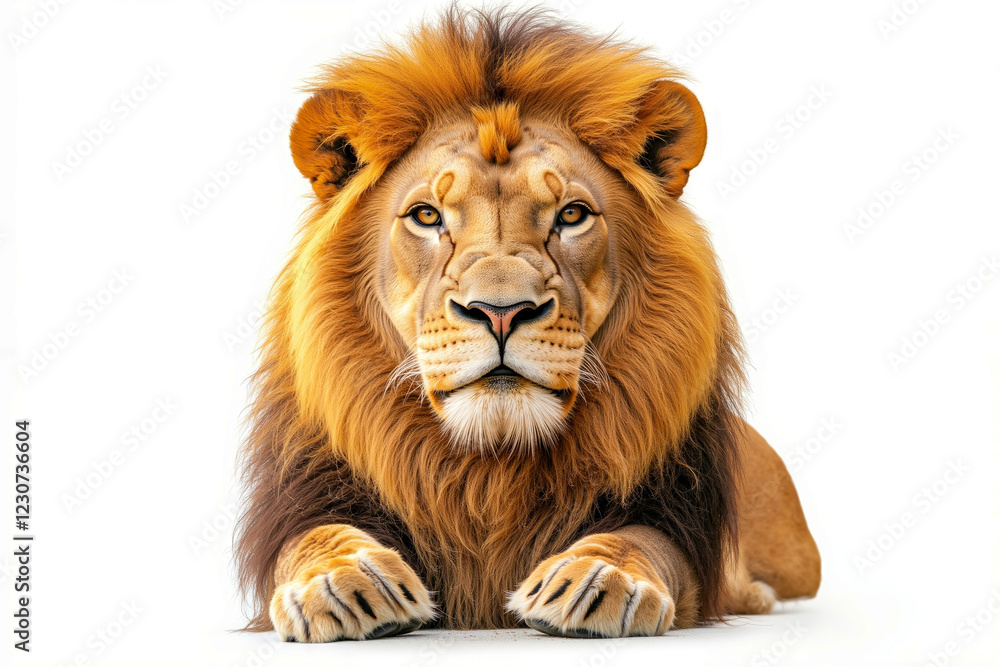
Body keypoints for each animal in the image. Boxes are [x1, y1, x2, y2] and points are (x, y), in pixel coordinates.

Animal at [235, 5, 820, 641]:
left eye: (572, 215)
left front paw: (598, 580)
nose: (500, 312)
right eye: (426, 216)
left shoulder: (675, 515)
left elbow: (641, 542)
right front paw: (344, 581)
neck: (492, 462)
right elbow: (314, 539)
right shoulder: (309, 500)